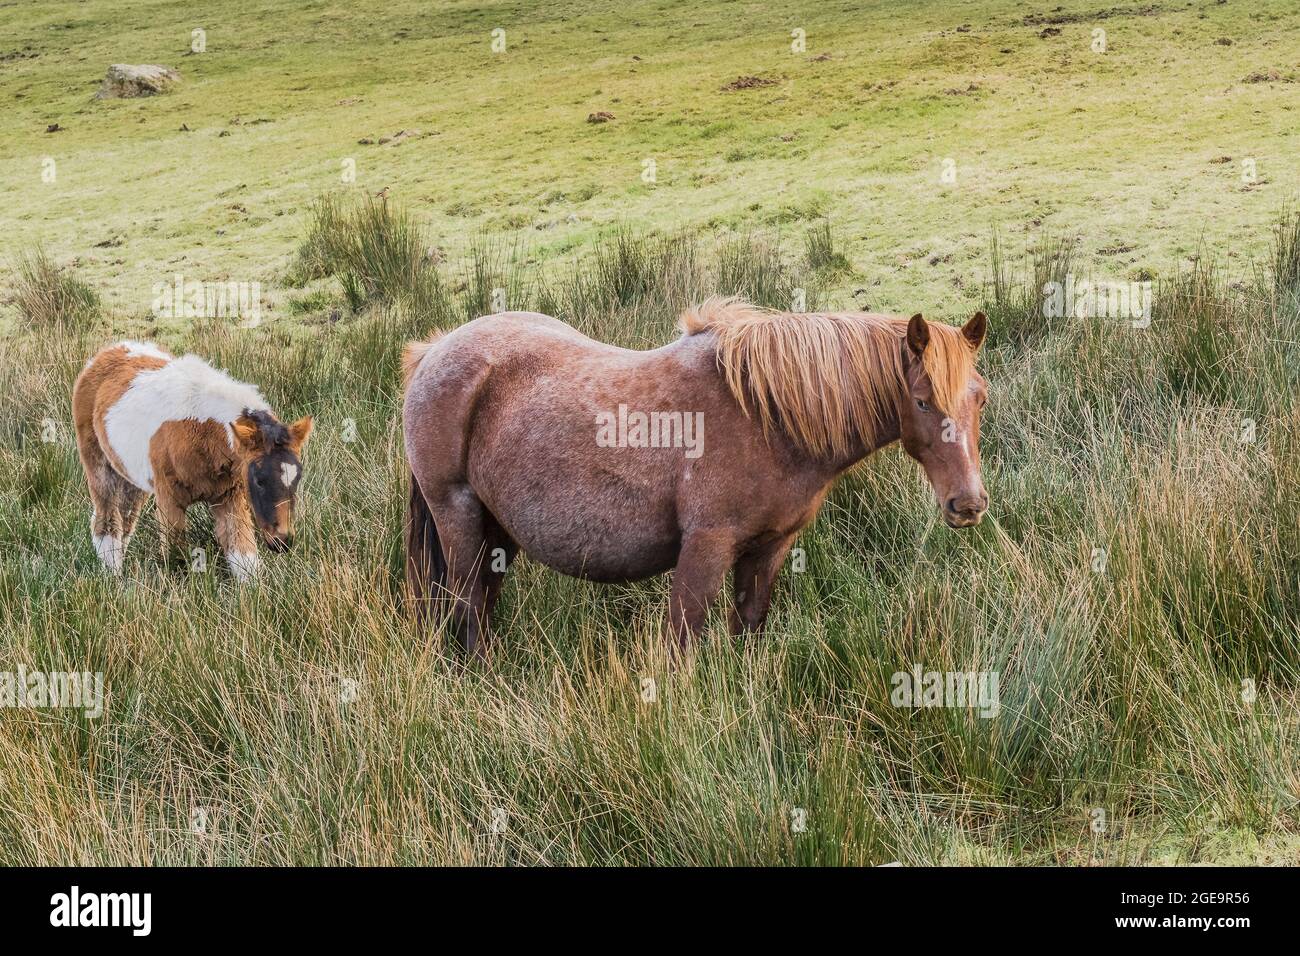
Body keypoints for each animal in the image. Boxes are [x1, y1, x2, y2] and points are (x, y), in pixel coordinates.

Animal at [73, 343, 312, 582]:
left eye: (298, 477)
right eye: (259, 480)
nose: (281, 541)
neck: (202, 432)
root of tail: (109, 351)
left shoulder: (229, 497)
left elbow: (244, 556)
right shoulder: (169, 500)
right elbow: (175, 559)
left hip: (132, 479)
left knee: (125, 522)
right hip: (100, 467)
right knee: (107, 522)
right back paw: (112, 578)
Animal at [403, 299, 982, 658]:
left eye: (980, 397)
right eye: (923, 401)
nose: (968, 504)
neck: (767, 416)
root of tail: (432, 352)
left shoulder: (770, 547)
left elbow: (748, 628)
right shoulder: (707, 545)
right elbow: (682, 644)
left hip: (499, 530)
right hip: (457, 514)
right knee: (468, 605)